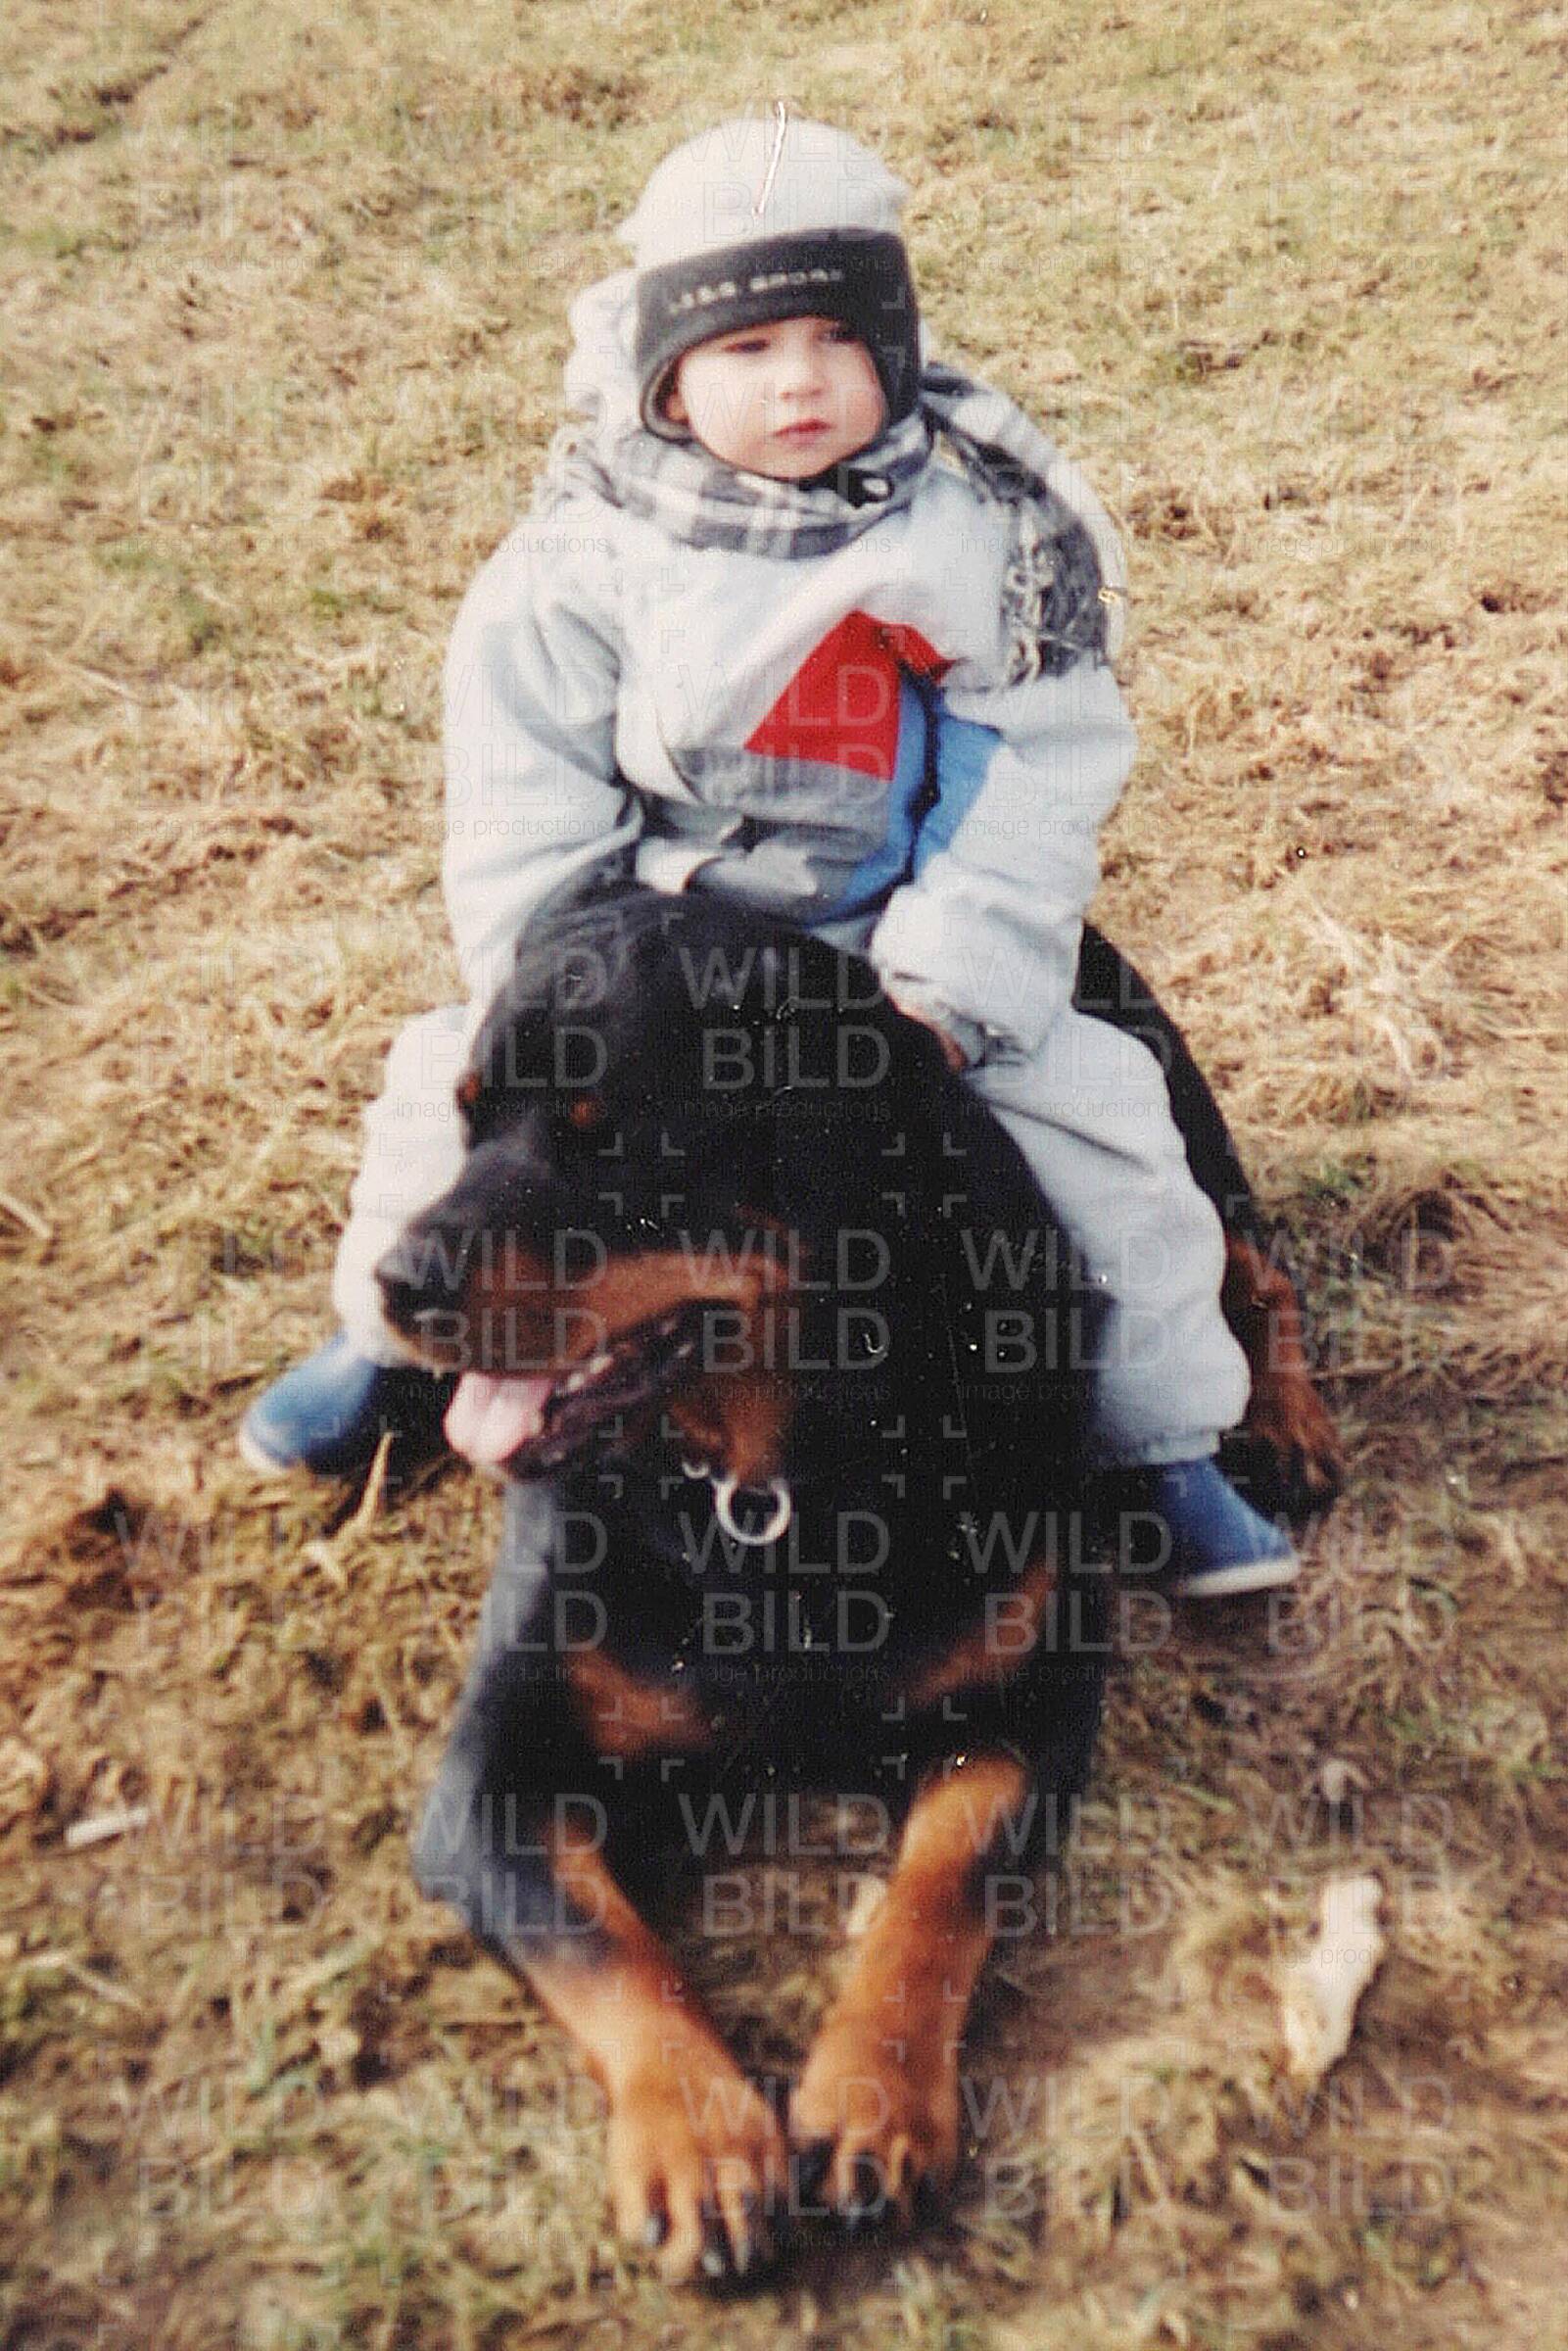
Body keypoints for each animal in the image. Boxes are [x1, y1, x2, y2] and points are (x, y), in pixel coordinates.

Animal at [376, 886, 1340, 2283]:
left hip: (1175, 1114)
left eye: (614, 1143)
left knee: (1250, 1265)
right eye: (466, 1118)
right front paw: (703, 2143)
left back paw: (1282, 1425)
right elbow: (600, 1942)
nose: (398, 1283)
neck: (766, 1474)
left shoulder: (1026, 1705)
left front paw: (871, 2103)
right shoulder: (490, 1778)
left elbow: (939, 1886)